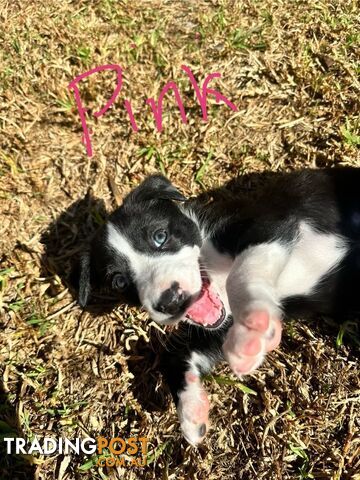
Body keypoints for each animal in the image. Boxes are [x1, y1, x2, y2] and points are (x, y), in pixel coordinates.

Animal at [77, 170, 360, 446]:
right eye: (119, 282)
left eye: (159, 236)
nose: (170, 301)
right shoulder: (219, 329)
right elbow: (175, 355)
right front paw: (192, 410)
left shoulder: (271, 223)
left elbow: (241, 272)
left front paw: (252, 332)